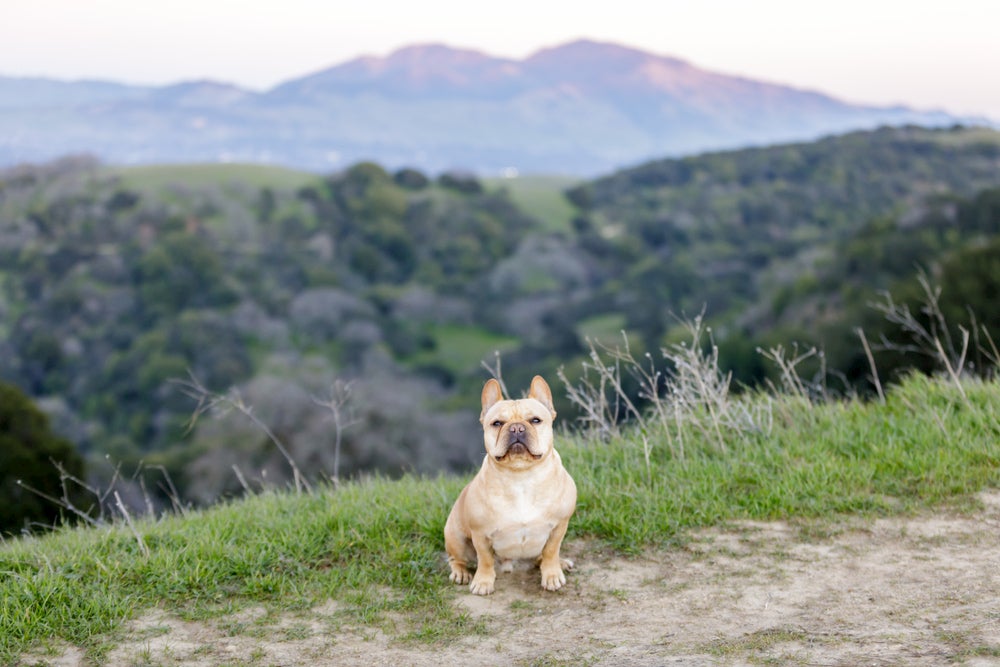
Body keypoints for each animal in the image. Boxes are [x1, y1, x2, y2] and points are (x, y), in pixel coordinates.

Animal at [442, 376, 576, 596]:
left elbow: (551, 551)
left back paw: (560, 563)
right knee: (457, 559)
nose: (516, 428)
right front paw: (483, 581)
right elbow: (485, 559)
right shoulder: (480, 534)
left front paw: (552, 574)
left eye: (535, 420)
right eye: (497, 423)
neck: (521, 476)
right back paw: (460, 573)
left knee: (542, 556)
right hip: (456, 537)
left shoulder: (559, 526)